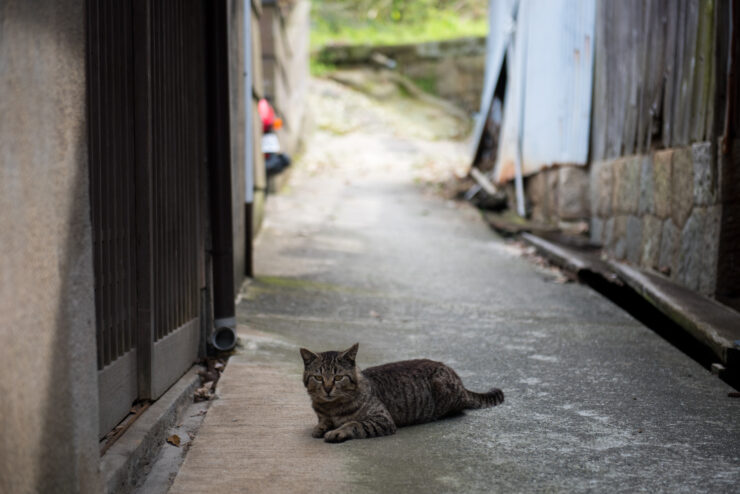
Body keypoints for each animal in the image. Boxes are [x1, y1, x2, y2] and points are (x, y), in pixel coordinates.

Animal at [300, 344, 502, 444]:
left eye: (338, 377)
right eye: (318, 377)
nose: (327, 388)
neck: (331, 407)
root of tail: (457, 378)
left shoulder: (382, 419)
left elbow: (354, 423)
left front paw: (337, 431)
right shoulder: (323, 414)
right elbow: (323, 422)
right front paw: (321, 427)